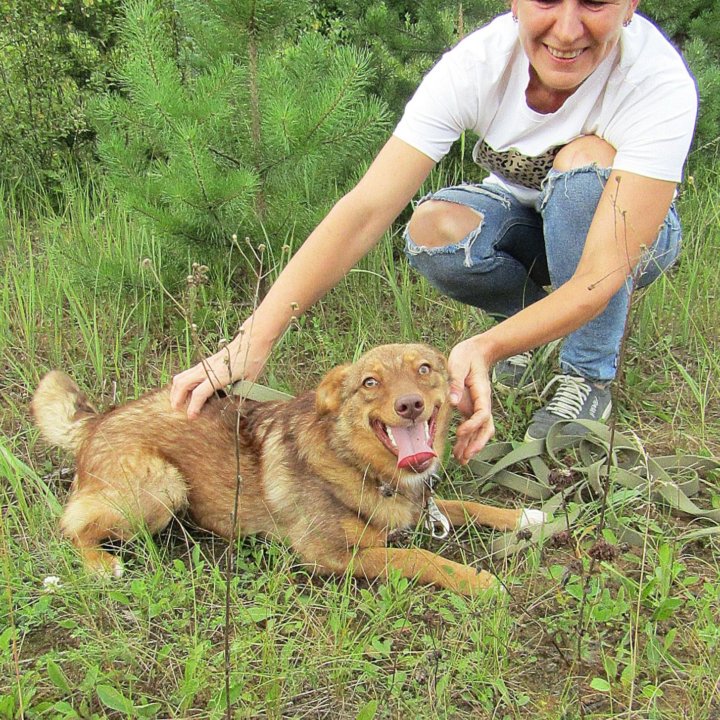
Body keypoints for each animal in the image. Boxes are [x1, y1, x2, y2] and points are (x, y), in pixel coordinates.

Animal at [31, 346, 544, 592]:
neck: (359, 464)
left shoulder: (421, 505)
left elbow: (466, 505)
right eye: (369, 382)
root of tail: (97, 420)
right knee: (70, 526)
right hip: (162, 487)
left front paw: (527, 516)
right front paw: (477, 581)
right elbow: (418, 556)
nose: (410, 405)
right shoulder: (331, 555)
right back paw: (101, 564)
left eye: (424, 369)